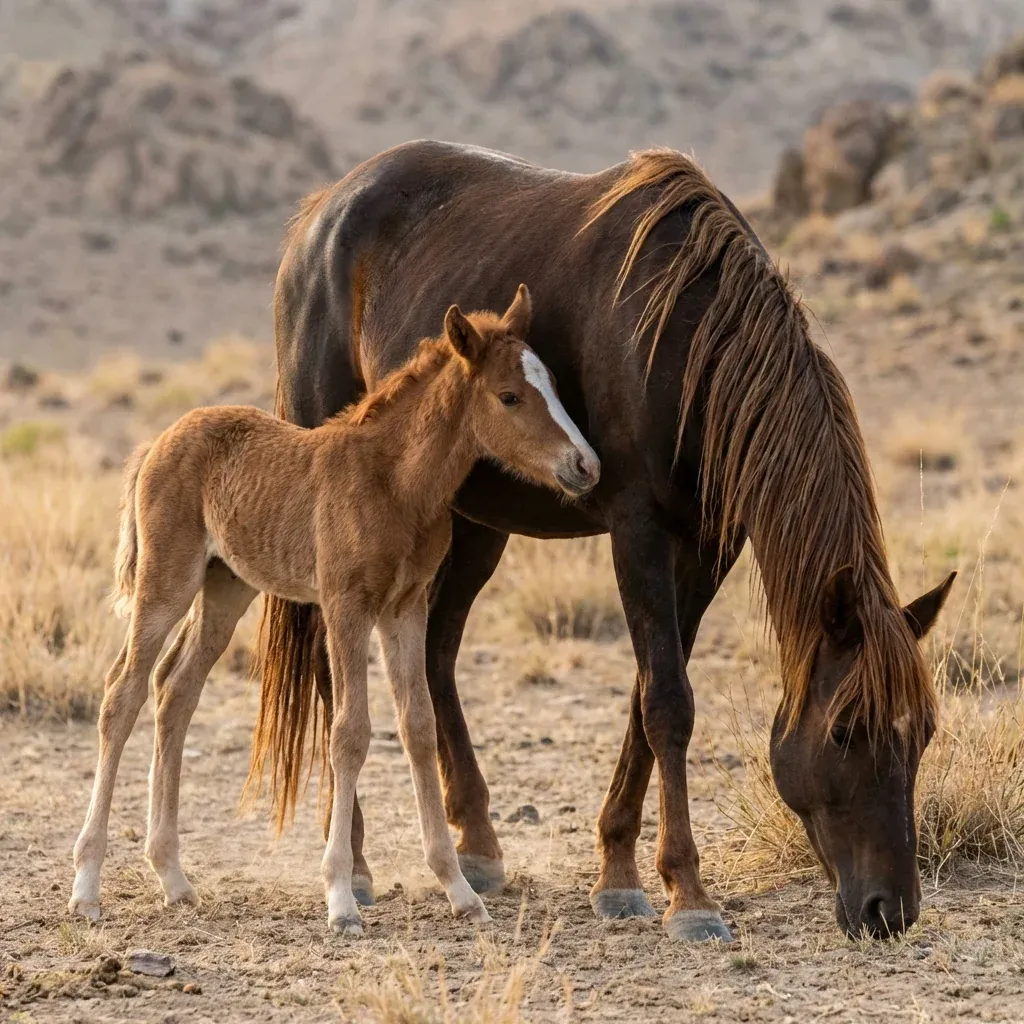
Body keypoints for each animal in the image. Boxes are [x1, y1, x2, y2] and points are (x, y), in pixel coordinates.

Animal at [68, 287, 601, 935]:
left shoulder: (405, 608)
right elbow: (349, 732)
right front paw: (342, 898)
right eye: (510, 396)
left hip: (226, 588)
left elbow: (418, 727)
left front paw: (459, 891)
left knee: (176, 690)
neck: (395, 483)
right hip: (166, 582)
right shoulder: (346, 605)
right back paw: (87, 886)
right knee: (122, 691)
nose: (586, 466)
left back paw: (173, 878)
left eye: (552, 383)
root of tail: (157, 443)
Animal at [255, 142, 955, 943]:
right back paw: (361, 862)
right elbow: (669, 704)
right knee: (331, 667)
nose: (889, 909)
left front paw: (619, 870)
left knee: (434, 654)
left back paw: (478, 846)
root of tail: (321, 213)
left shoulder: (706, 548)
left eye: (924, 732)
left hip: (475, 528)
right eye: (845, 731)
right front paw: (688, 894)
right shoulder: (638, 529)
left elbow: (646, 699)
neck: (689, 342)